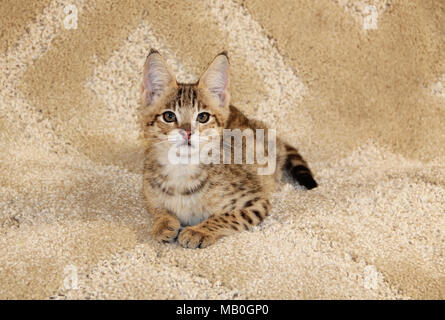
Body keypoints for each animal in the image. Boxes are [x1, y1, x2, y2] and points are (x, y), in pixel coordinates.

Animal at [140, 50, 316, 250]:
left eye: (203, 117)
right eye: (169, 116)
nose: (188, 132)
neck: (182, 170)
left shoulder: (256, 202)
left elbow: (227, 217)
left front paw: (199, 231)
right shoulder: (149, 192)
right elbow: (158, 209)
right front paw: (163, 223)